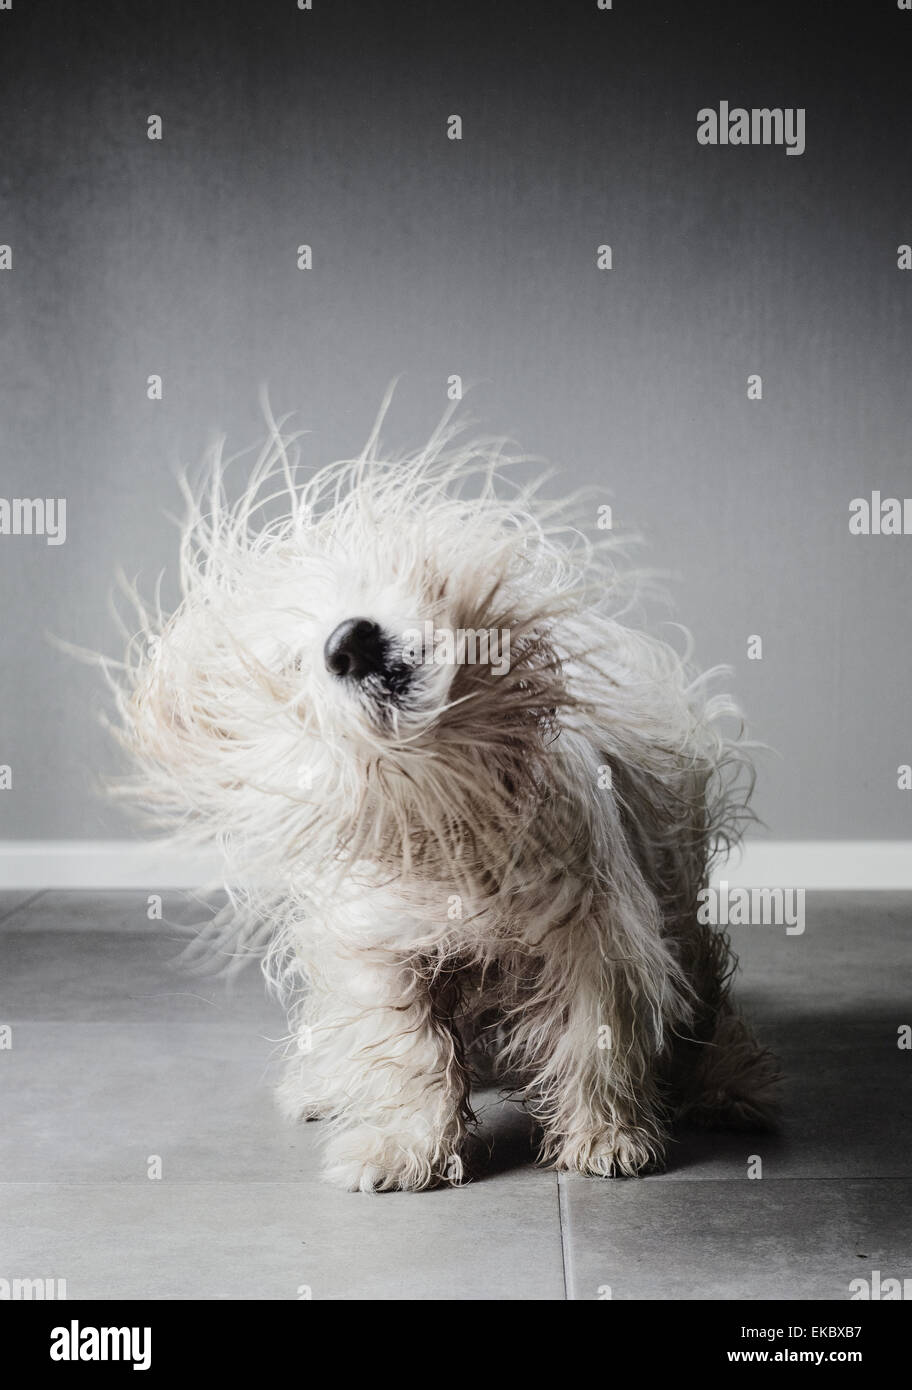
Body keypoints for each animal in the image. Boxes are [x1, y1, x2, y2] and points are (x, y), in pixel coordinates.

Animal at [107, 403, 778, 1195]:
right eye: (292, 662)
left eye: (378, 577)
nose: (351, 640)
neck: (455, 813)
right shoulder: (382, 952)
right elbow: (410, 1052)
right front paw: (409, 1147)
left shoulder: (598, 939)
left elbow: (597, 1047)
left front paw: (608, 1136)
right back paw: (322, 1087)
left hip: (680, 908)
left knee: (707, 1005)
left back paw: (729, 1086)